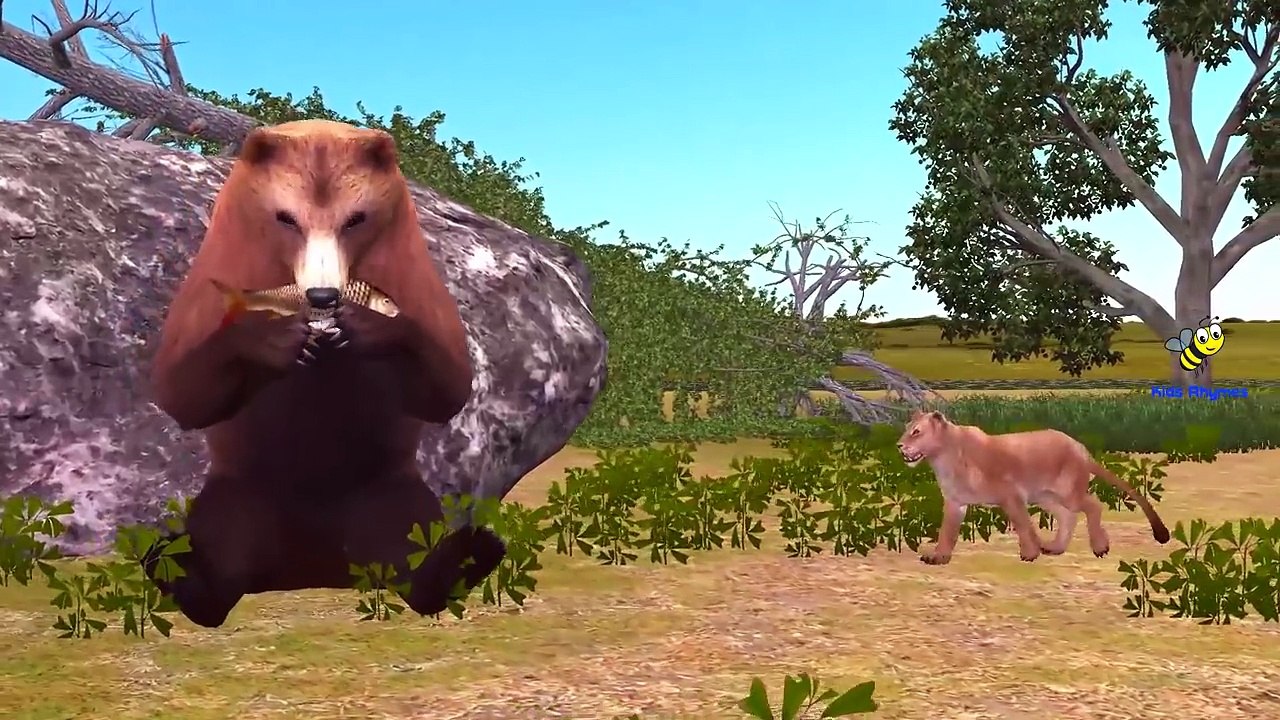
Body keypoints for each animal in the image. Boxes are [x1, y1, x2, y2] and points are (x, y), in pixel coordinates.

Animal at [145, 118, 506, 629]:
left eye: (356, 218)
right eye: (285, 217)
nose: (321, 295)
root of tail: (314, 567)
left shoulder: (409, 269)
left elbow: (448, 385)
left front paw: (369, 327)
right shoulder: (221, 264)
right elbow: (180, 390)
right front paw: (275, 340)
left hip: (383, 492)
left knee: (412, 543)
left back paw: (468, 554)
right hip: (245, 492)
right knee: (220, 543)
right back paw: (175, 565)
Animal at [896, 409, 1170, 565]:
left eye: (916, 432)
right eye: (906, 430)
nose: (899, 446)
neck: (942, 458)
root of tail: (1081, 447)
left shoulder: (1012, 495)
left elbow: (1022, 523)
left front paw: (1029, 553)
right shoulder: (955, 503)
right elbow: (947, 532)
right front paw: (938, 557)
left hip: (1067, 493)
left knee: (1093, 506)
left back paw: (1099, 547)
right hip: (1045, 497)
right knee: (1068, 516)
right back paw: (1055, 548)